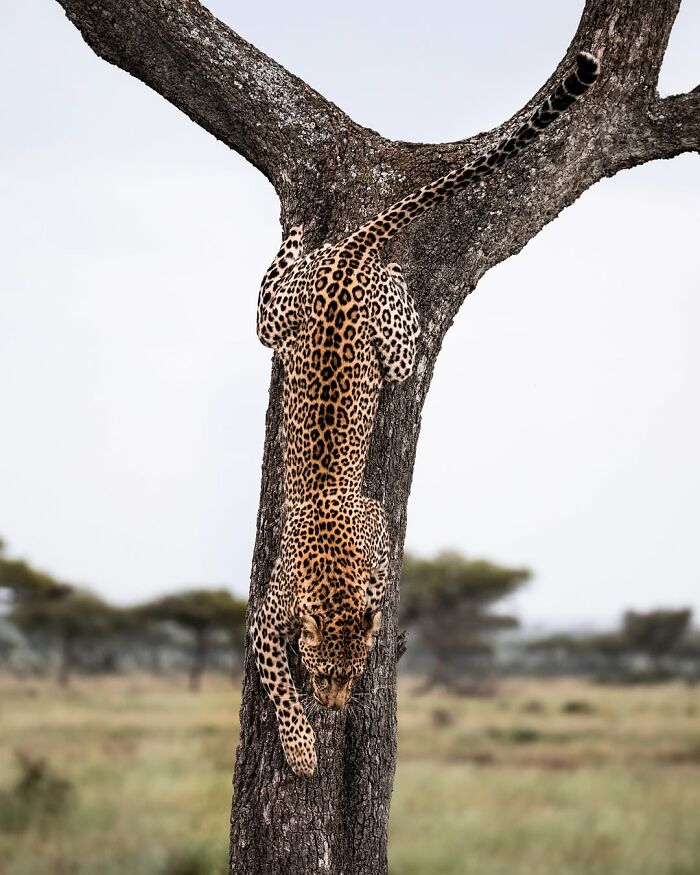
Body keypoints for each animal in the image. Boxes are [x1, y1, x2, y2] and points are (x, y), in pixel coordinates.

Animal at [250, 52, 599, 776]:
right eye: (321, 673)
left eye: (352, 673)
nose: (334, 706)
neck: (332, 572)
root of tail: (348, 258)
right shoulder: (266, 621)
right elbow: (276, 678)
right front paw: (302, 747)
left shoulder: (374, 524)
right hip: (330, 330)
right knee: (292, 299)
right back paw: (322, 239)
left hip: (327, 315)